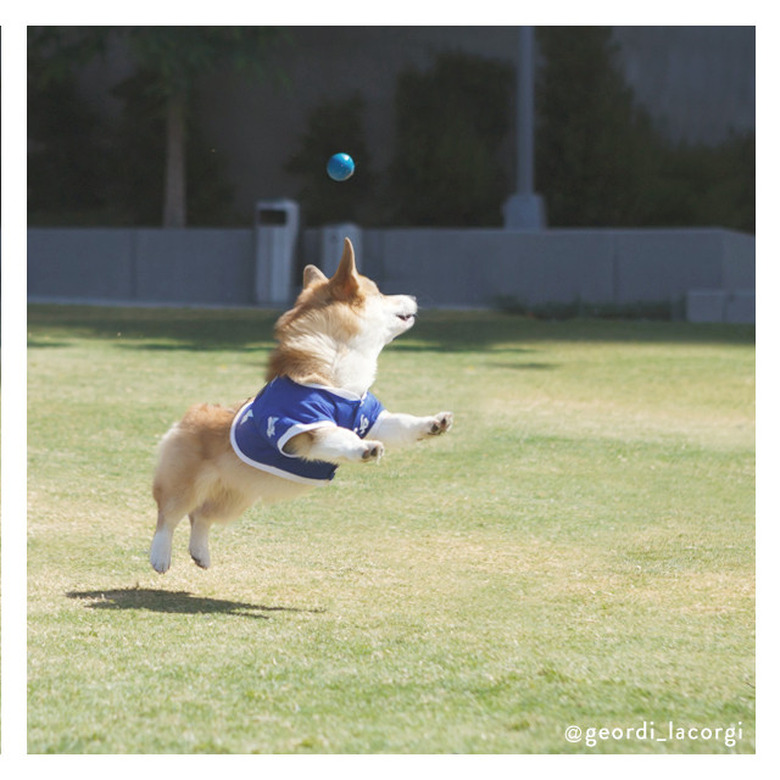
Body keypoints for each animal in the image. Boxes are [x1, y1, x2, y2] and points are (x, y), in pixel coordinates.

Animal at [150, 238, 454, 572]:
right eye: (379, 292)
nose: (413, 296)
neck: (336, 375)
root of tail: (187, 417)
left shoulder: (373, 418)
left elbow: (403, 423)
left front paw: (434, 423)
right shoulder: (304, 428)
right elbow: (339, 436)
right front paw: (365, 449)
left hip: (236, 496)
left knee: (201, 516)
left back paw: (201, 554)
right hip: (186, 484)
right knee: (169, 515)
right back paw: (160, 557)